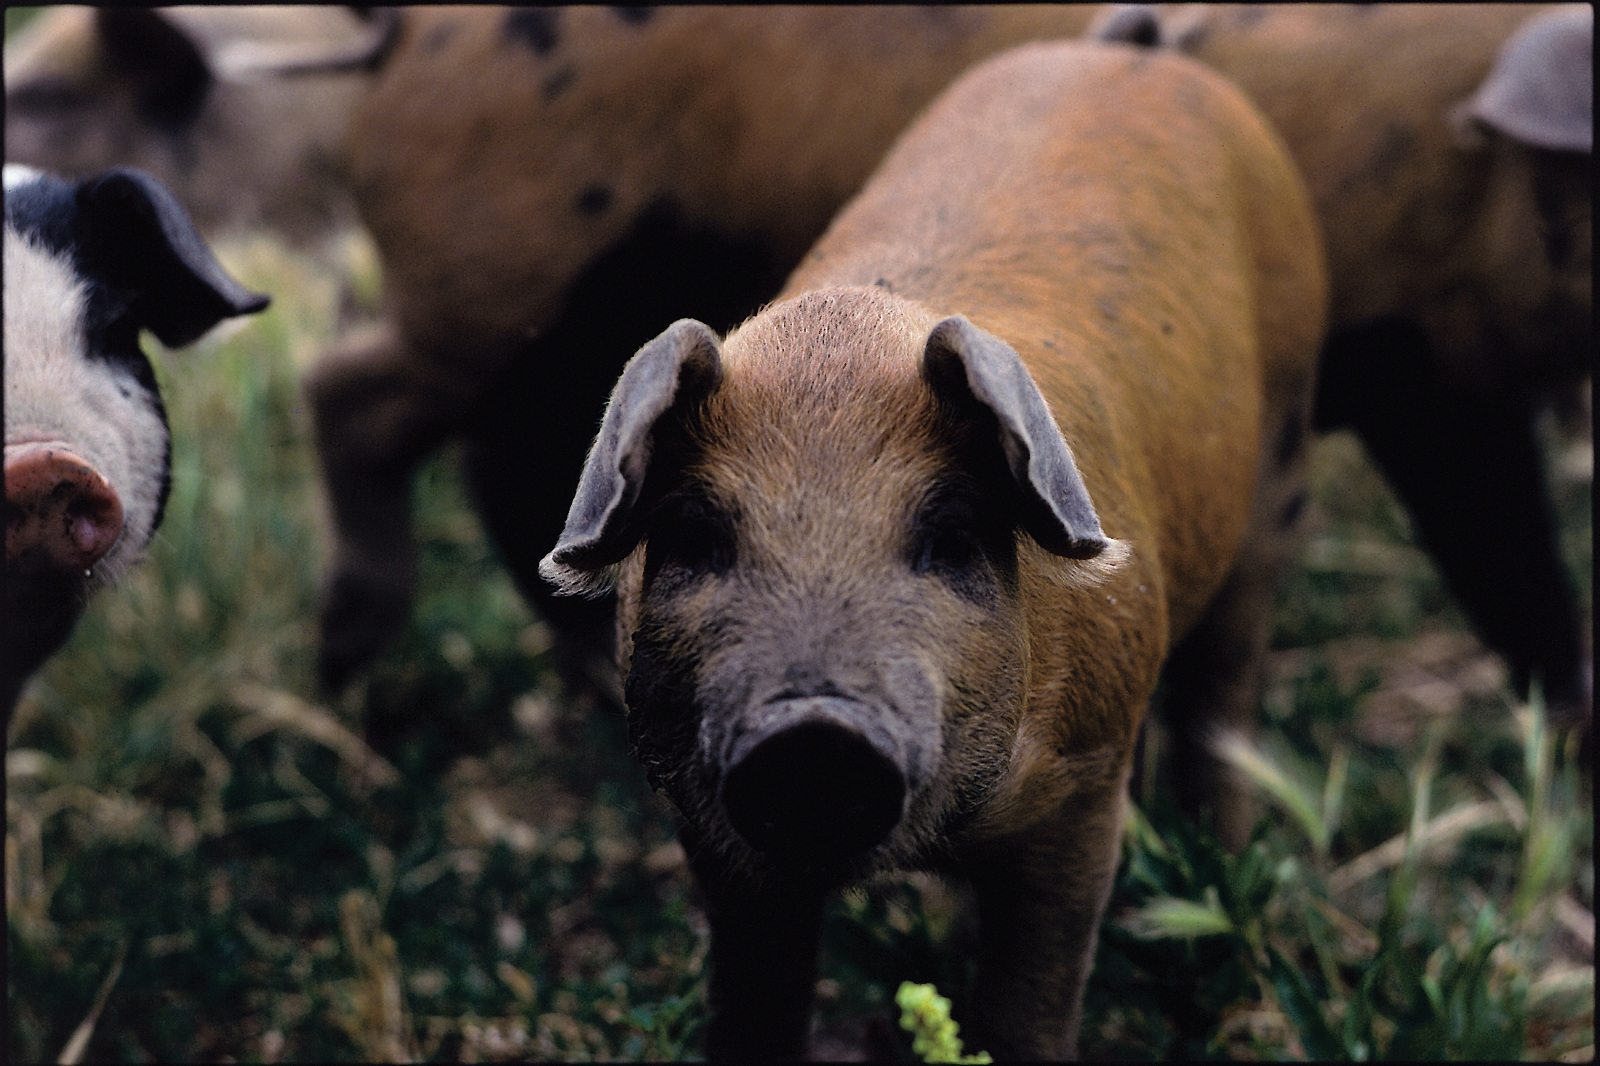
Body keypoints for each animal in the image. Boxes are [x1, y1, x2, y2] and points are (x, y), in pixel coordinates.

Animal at [537, 39, 1324, 1056]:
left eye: (948, 534)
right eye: (695, 534)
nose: (814, 729)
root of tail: (1126, 45)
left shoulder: (1084, 781)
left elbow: (1031, 1003)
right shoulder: (707, 826)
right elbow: (755, 997)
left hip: (1282, 456)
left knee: (1225, 691)